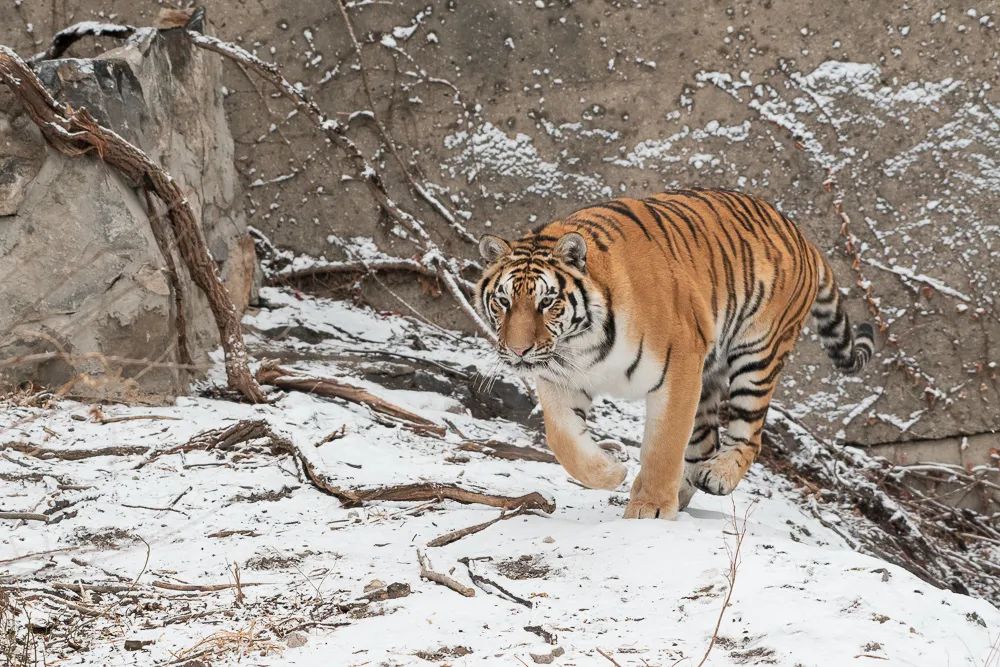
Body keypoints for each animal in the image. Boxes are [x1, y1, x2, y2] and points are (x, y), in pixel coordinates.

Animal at [472, 188, 872, 520]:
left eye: (547, 302)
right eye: (504, 301)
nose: (519, 350)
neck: (580, 345)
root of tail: (802, 235)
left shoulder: (678, 368)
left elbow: (663, 446)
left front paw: (649, 508)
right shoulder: (560, 378)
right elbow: (563, 439)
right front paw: (611, 472)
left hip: (758, 353)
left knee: (749, 434)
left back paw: (717, 475)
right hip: (709, 376)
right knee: (705, 442)